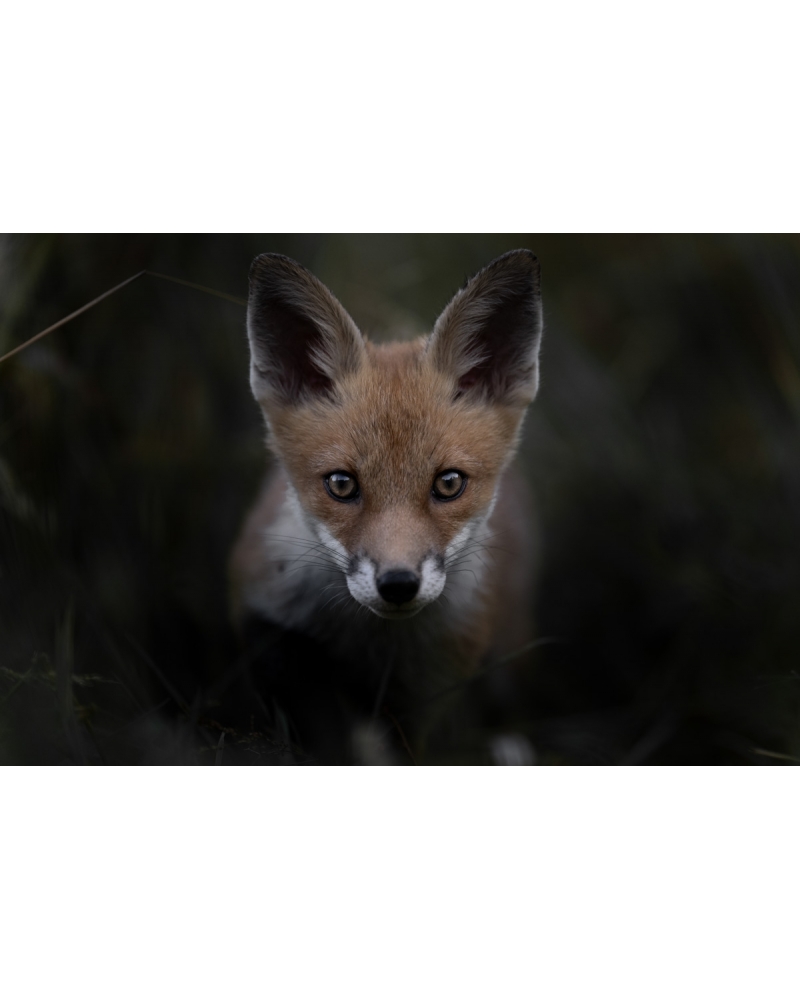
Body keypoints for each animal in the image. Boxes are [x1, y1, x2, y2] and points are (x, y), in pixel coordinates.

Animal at [228, 249, 543, 761]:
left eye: (448, 484)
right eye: (341, 484)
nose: (398, 584)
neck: (370, 645)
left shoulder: (425, 693)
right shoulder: (275, 641)